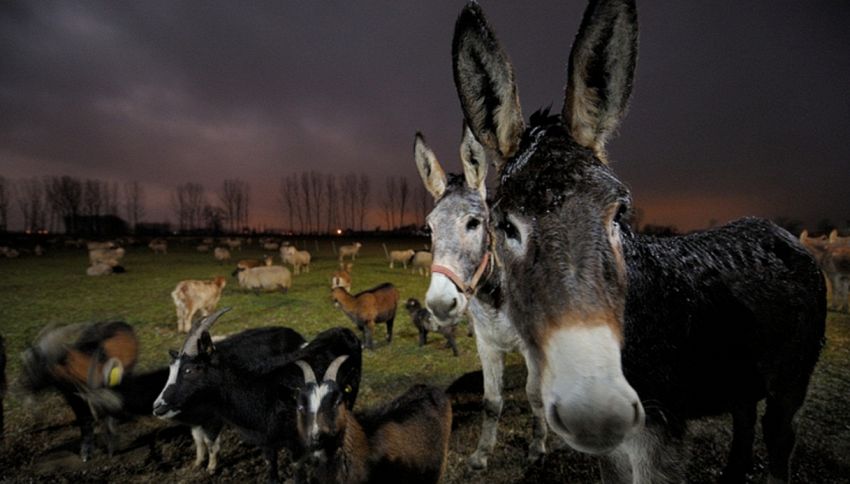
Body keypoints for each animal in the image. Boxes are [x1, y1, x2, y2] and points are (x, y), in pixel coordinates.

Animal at [154, 308, 360, 482]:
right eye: (171, 370)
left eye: (189, 370)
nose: (157, 406)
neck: (260, 391)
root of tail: (342, 330)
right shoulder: (266, 441)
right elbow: (271, 467)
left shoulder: (295, 443)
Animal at [448, 1, 824, 482]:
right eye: (504, 225)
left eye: (620, 212)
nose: (596, 410)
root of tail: (779, 231)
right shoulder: (615, 452)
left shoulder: (660, 438)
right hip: (739, 377)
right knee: (743, 418)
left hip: (790, 383)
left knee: (779, 440)